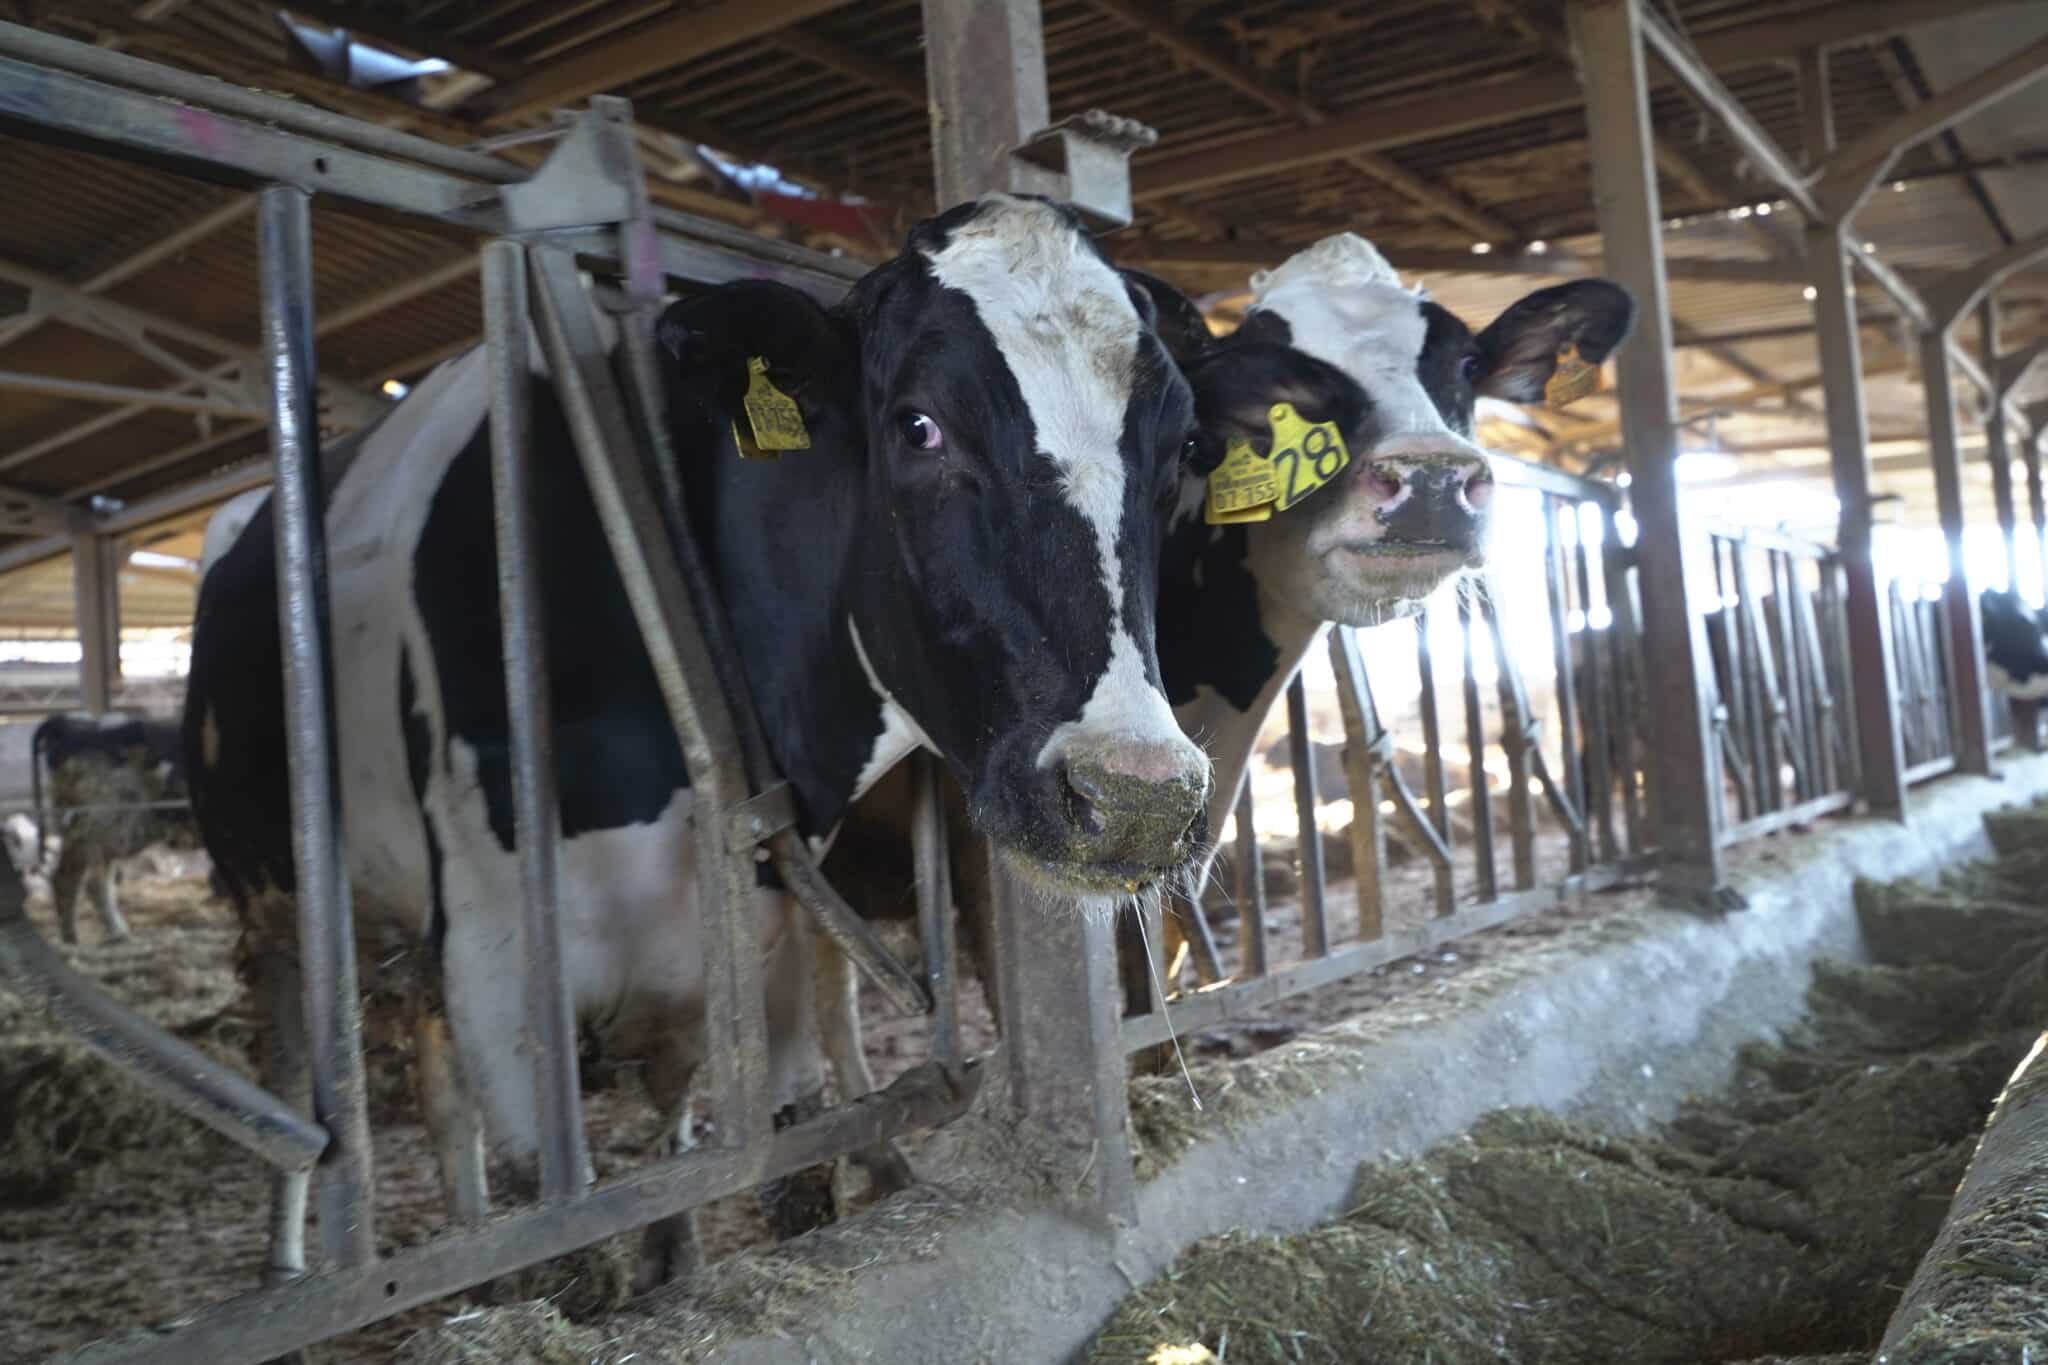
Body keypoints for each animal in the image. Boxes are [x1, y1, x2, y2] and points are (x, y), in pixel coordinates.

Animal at [180, 194, 1212, 1293]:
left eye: (1180, 447)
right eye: (919, 425)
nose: (1139, 798)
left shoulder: (764, 933)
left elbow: (768, 1151)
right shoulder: (500, 971)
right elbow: (564, 1240)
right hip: (274, 897)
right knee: (303, 1065)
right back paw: (295, 1263)